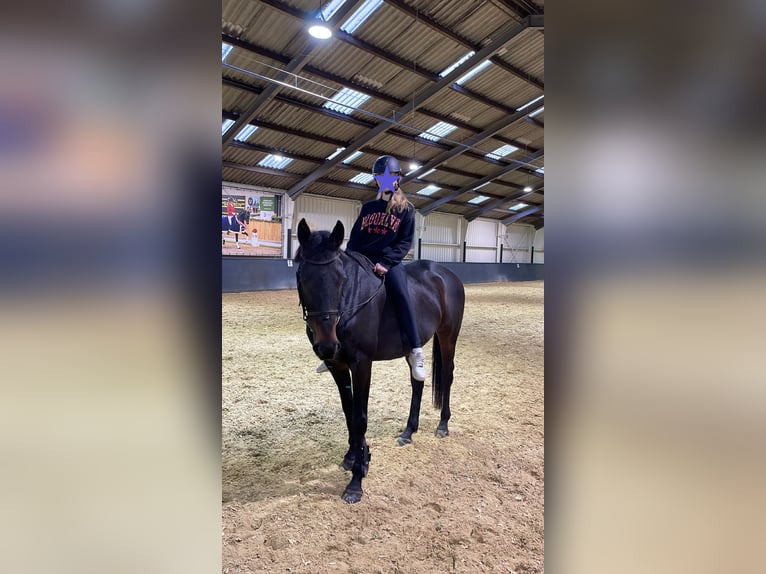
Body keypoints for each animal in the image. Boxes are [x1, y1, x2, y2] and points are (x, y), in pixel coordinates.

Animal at [295, 218, 465, 504]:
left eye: (341, 279)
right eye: (302, 276)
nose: (327, 345)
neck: (350, 304)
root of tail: (446, 275)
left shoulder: (362, 363)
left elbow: (360, 417)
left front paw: (357, 480)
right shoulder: (337, 365)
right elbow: (349, 411)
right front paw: (353, 456)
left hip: (448, 336)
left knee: (448, 376)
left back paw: (443, 425)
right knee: (417, 382)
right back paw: (408, 432)